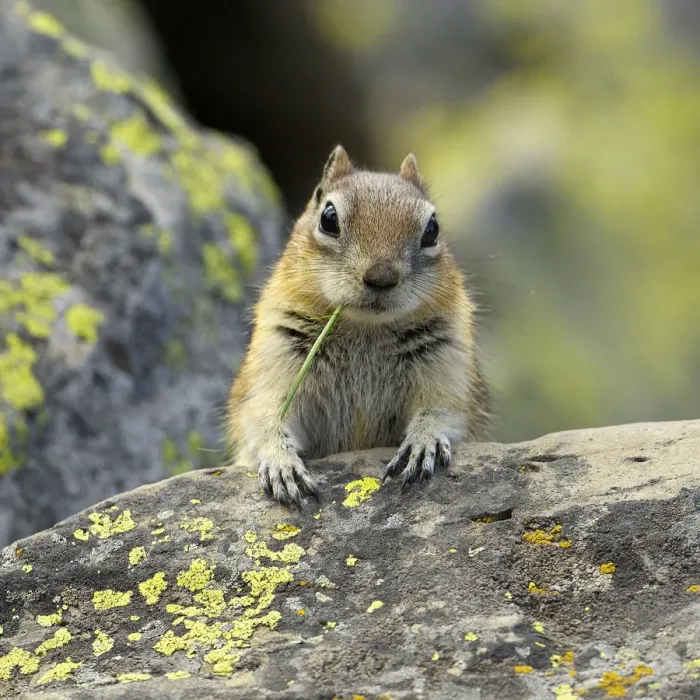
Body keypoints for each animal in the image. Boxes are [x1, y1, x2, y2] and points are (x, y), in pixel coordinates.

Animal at [228, 145, 490, 506]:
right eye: (328, 218)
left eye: (433, 229)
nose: (381, 277)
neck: (366, 329)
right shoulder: (275, 358)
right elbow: (265, 418)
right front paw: (283, 465)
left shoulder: (448, 364)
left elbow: (444, 411)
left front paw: (424, 442)